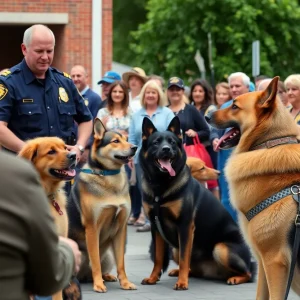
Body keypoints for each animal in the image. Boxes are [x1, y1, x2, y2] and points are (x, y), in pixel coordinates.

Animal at [68, 118, 137, 292]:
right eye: (115, 141)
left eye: (126, 139)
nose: (135, 147)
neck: (108, 175)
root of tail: (83, 277)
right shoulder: (92, 227)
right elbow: (95, 261)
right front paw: (98, 284)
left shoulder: (121, 228)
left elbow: (121, 263)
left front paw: (125, 283)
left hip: (108, 255)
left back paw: (107, 276)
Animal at [138, 116, 253, 290]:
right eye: (156, 142)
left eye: (172, 142)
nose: (166, 149)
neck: (161, 186)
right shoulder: (155, 227)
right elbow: (158, 258)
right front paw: (153, 278)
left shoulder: (185, 226)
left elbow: (185, 258)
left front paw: (182, 283)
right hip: (174, 249)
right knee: (192, 268)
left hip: (220, 249)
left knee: (249, 273)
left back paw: (234, 278)